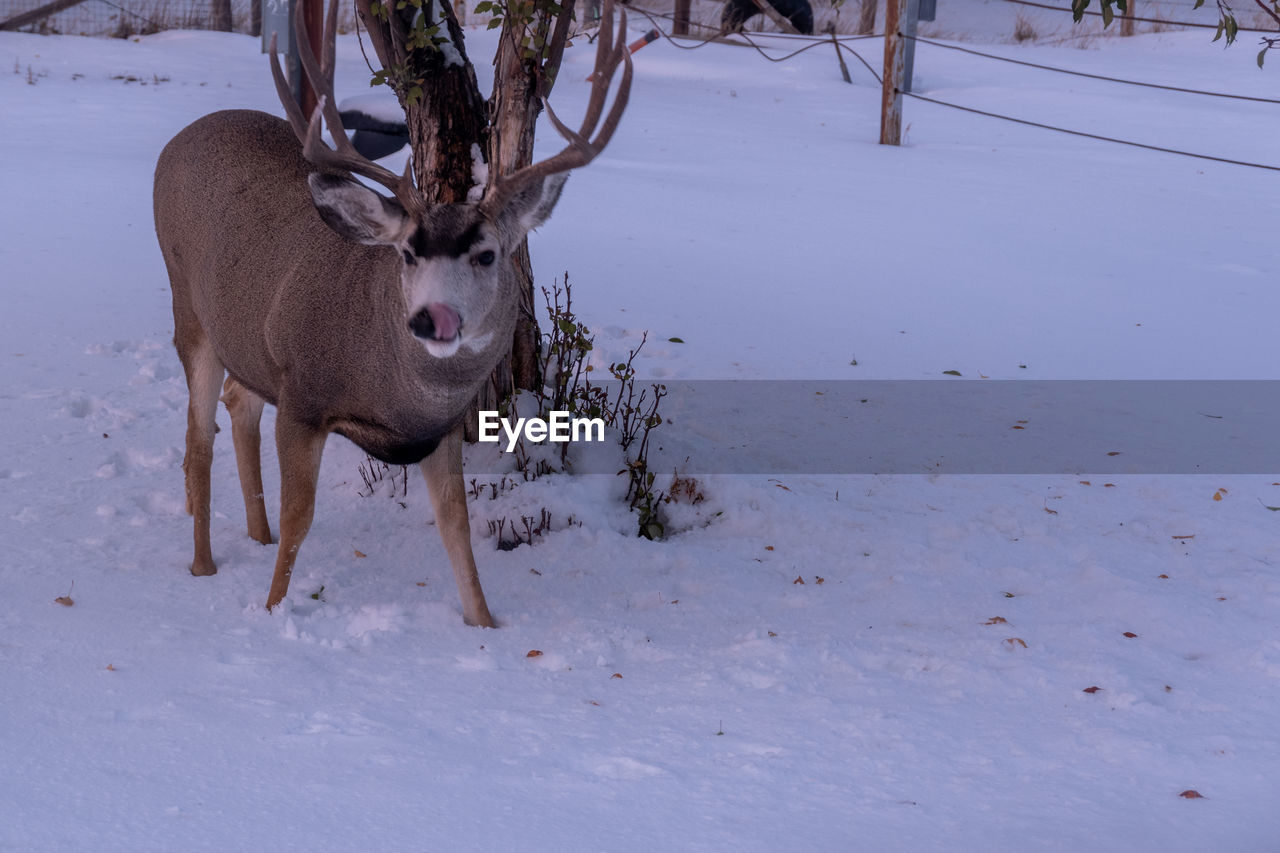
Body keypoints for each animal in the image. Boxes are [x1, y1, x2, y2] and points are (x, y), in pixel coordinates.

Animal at [152, 0, 632, 625]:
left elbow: (457, 525)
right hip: (189, 305)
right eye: (407, 253)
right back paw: (204, 564)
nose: (430, 318)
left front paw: (485, 623)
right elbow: (300, 517)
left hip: (249, 339)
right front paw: (273, 609)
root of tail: (177, 140)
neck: (396, 393)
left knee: (238, 402)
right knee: (197, 435)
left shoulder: (442, 428)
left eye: (487, 254)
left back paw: (256, 534)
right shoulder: (303, 394)